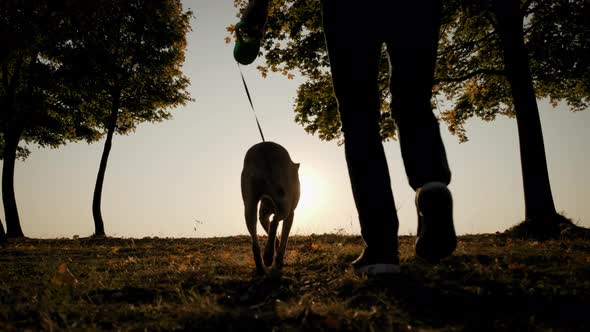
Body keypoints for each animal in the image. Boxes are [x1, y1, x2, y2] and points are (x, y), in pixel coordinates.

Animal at [240, 141, 300, 274]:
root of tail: (265, 147)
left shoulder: (263, 215)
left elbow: (269, 228)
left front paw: (275, 245)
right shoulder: (291, 214)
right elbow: (284, 239)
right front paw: (278, 259)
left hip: (249, 204)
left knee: (255, 241)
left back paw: (261, 267)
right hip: (285, 203)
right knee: (275, 221)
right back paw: (268, 256)